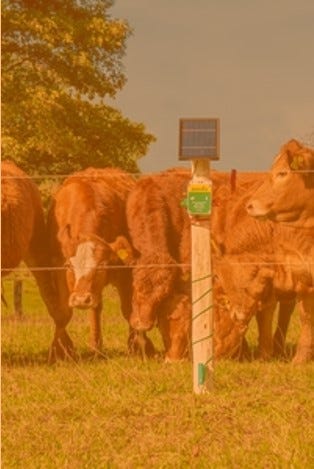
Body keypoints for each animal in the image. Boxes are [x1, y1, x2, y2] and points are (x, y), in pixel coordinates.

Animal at [47, 168, 155, 362]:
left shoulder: (125, 273)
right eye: (68, 266)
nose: (81, 299)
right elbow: (63, 313)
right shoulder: (57, 269)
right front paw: (59, 349)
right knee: (95, 308)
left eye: (102, 266)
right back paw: (96, 346)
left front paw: (139, 346)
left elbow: (128, 310)